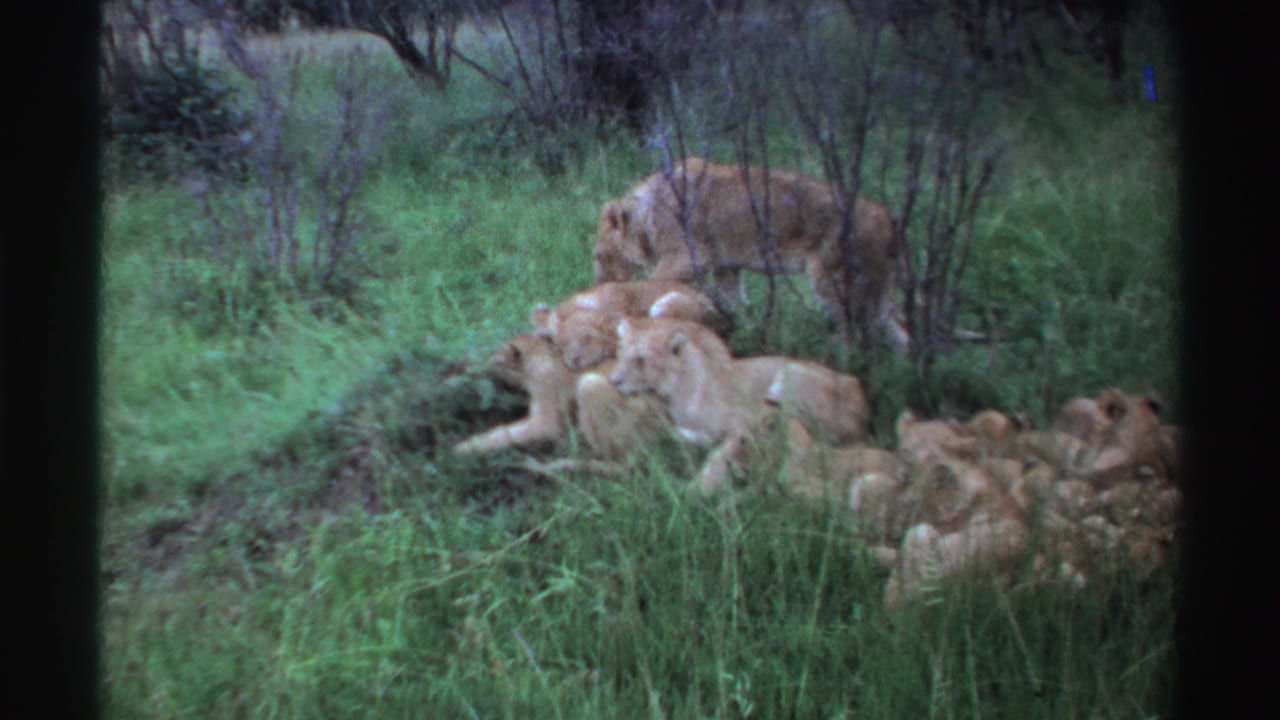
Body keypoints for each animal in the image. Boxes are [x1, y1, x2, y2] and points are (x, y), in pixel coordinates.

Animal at [593, 157, 910, 351]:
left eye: (598, 255)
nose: (599, 283)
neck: (645, 213)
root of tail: (889, 219)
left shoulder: (685, 257)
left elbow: (654, 283)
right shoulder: (726, 268)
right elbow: (735, 305)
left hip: (833, 281)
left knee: (856, 335)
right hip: (880, 291)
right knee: (900, 334)